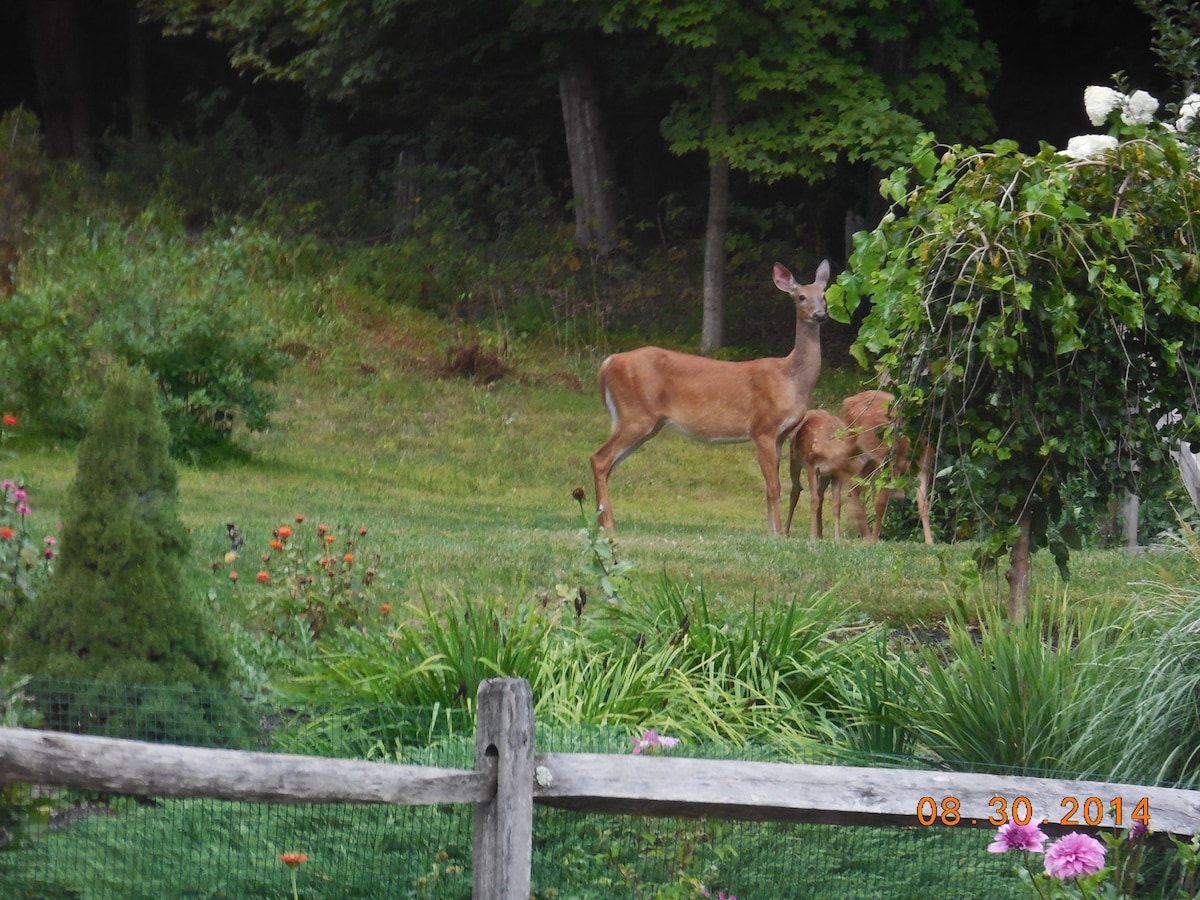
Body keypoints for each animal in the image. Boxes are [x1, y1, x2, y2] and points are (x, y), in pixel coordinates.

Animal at [588, 256, 830, 532]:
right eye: (801, 296)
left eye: (824, 295)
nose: (821, 315)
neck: (791, 379)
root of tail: (608, 363)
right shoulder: (762, 428)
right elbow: (774, 486)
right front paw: (778, 533)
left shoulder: (779, 435)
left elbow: (772, 486)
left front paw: (773, 532)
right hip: (636, 415)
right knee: (599, 459)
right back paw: (608, 524)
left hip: (645, 423)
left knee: (608, 464)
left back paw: (603, 521)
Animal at [782, 412, 868, 540]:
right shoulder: (811, 466)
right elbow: (814, 500)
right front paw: (811, 536)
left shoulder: (835, 474)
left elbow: (836, 504)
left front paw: (837, 537)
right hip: (795, 460)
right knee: (796, 490)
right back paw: (786, 532)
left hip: (824, 476)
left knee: (820, 496)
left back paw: (820, 534)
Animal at [840, 388, 931, 542]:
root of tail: (848, 400)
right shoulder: (887, 462)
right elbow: (880, 503)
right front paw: (875, 539)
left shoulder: (923, 468)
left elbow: (923, 504)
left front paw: (930, 541)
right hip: (852, 438)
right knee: (842, 463)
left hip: (871, 456)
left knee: (856, 484)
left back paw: (865, 534)